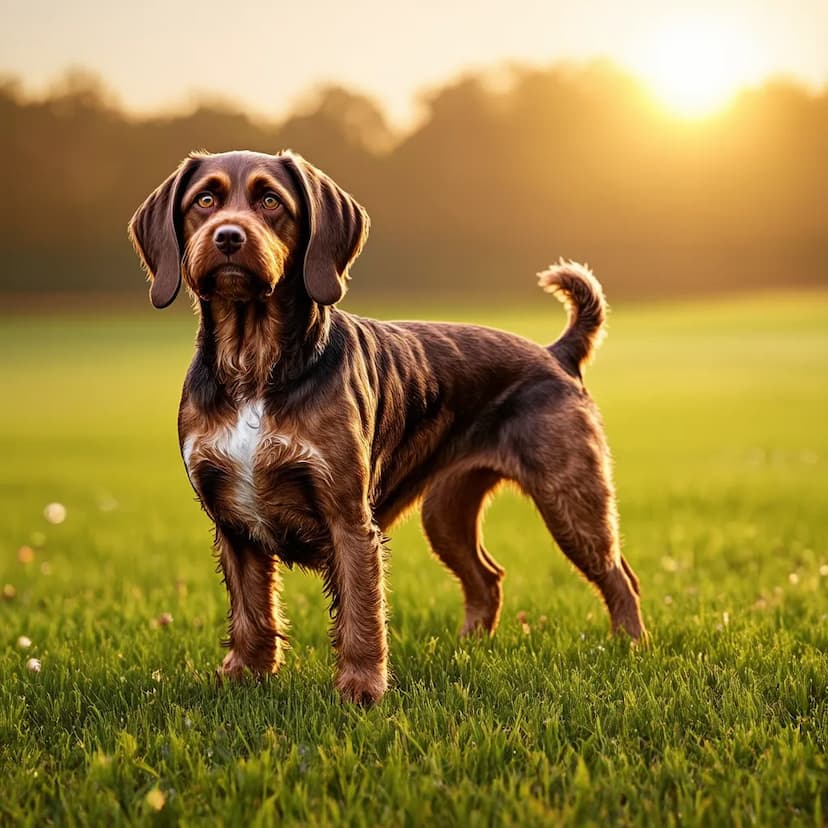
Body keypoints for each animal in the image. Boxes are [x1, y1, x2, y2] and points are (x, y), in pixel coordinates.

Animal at [129, 150, 648, 704]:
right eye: (204, 199)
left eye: (271, 201)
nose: (228, 236)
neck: (254, 364)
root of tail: (556, 353)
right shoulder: (230, 519)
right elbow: (251, 613)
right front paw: (244, 677)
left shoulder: (349, 517)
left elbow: (361, 614)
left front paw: (361, 692)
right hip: (446, 512)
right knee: (487, 578)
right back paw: (466, 648)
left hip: (572, 499)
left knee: (620, 576)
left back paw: (630, 648)